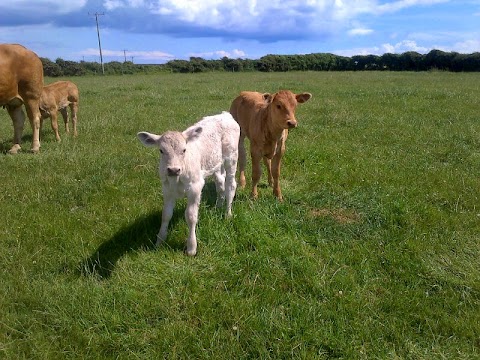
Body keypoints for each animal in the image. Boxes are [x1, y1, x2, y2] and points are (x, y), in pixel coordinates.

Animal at [137, 112, 240, 256]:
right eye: (161, 150)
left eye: (184, 150)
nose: (173, 169)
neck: (177, 179)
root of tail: (225, 114)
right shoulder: (167, 189)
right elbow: (166, 215)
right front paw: (159, 241)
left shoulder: (195, 187)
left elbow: (191, 216)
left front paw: (191, 247)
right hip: (216, 163)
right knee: (220, 183)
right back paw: (217, 207)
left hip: (231, 157)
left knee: (230, 185)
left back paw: (228, 214)